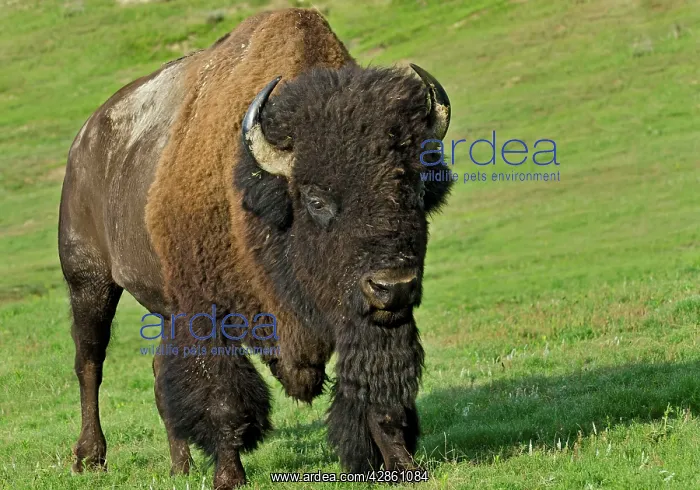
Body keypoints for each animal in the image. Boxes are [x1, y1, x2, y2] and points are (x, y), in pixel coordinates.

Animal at [58, 8, 453, 489]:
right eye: (316, 199)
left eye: (415, 190)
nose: (392, 285)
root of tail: (86, 141)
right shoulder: (207, 313)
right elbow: (224, 398)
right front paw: (229, 476)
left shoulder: (372, 317)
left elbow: (379, 391)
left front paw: (403, 466)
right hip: (88, 281)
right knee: (89, 361)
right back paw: (90, 457)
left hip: (163, 304)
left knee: (158, 372)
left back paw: (180, 464)